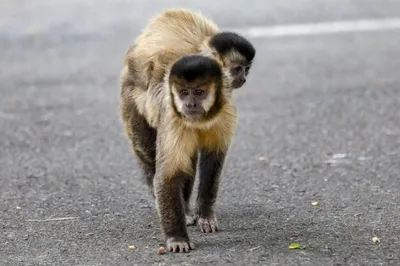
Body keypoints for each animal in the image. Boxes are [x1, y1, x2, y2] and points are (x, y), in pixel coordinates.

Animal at [119, 8, 256, 254]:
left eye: (246, 70)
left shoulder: (226, 111)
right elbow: (168, 174)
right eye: (237, 69)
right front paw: (176, 237)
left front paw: (204, 215)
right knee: (148, 153)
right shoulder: (173, 115)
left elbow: (213, 159)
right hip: (129, 98)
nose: (242, 78)